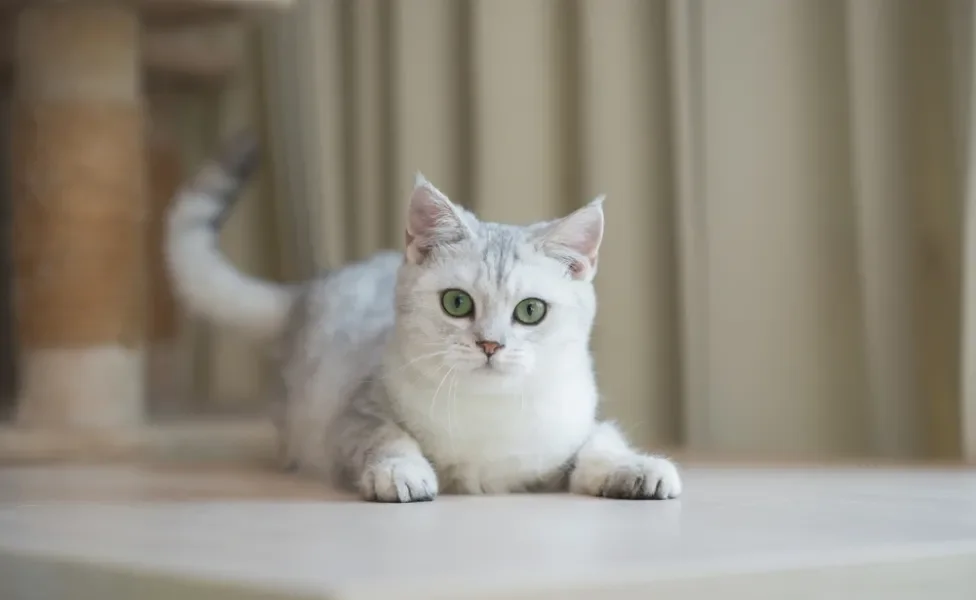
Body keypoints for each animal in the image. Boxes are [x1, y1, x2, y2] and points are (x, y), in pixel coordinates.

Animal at [168, 135, 684, 502]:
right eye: (457, 303)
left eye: (530, 311)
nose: (490, 344)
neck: (489, 416)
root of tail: (312, 291)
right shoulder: (354, 415)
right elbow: (387, 438)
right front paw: (401, 472)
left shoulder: (580, 426)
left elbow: (602, 444)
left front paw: (638, 468)